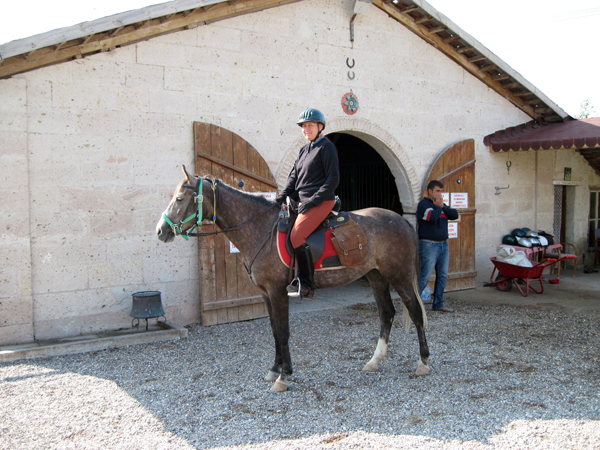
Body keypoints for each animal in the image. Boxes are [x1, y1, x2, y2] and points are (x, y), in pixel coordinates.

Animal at [157, 165, 428, 390]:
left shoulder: (278, 291)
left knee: (415, 312)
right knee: (386, 314)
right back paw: (375, 360)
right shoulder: (265, 293)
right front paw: (274, 369)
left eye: (179, 199)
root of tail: (401, 219)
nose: (161, 230)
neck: (261, 230)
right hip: (376, 276)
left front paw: (284, 375)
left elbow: (284, 331)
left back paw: (423, 362)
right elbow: (275, 330)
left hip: (400, 276)